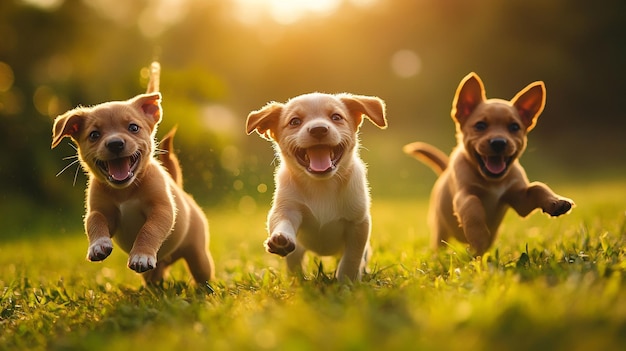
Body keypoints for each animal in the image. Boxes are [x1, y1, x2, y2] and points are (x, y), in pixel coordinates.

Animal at [50, 62, 214, 284]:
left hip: (199, 257)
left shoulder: (161, 209)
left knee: (202, 273)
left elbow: (149, 230)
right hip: (155, 271)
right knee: (155, 276)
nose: (115, 143)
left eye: (133, 127)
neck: (124, 191)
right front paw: (98, 245)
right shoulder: (102, 211)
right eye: (94, 135)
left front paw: (141, 255)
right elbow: (94, 222)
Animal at [245, 92, 386, 282]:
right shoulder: (287, 208)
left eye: (336, 117)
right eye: (295, 121)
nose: (318, 129)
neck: (322, 185)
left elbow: (351, 259)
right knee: (294, 262)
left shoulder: (358, 223)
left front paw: (347, 282)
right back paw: (296, 281)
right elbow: (282, 221)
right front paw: (281, 238)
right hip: (298, 249)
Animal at [402, 73, 572, 258]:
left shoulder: (521, 200)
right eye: (480, 126)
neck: (492, 182)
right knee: (439, 242)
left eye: (514, 127)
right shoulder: (463, 194)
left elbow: (538, 187)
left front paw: (555, 202)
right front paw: (479, 238)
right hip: (439, 228)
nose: (499, 142)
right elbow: (473, 206)